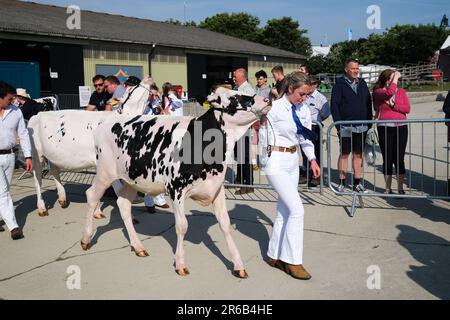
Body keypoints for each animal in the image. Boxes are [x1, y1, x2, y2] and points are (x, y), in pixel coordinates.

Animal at [80, 87, 270, 278]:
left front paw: (238, 265)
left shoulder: (216, 189)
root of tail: (107, 121)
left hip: (131, 179)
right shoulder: (176, 189)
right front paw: (180, 264)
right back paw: (86, 239)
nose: (267, 99)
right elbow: (182, 226)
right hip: (105, 173)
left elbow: (225, 224)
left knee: (123, 205)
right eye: (234, 97)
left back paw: (138, 246)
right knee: (92, 196)